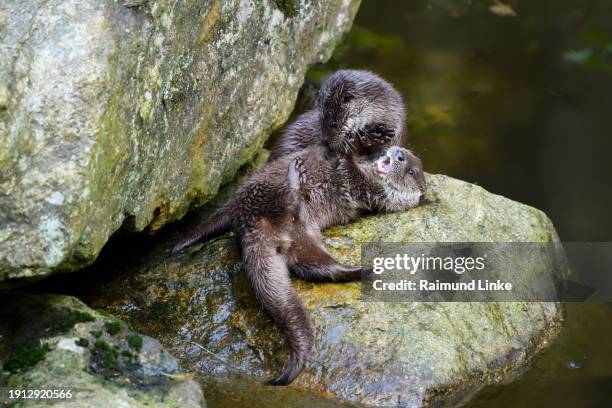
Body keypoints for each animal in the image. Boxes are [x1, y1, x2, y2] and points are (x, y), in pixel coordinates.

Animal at [170, 146, 424, 386]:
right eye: (405, 152)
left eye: (411, 171)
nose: (398, 153)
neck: (369, 177)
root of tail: (253, 225)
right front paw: (347, 152)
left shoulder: (366, 189)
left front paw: (344, 159)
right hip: (266, 195)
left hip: (294, 228)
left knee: (314, 259)